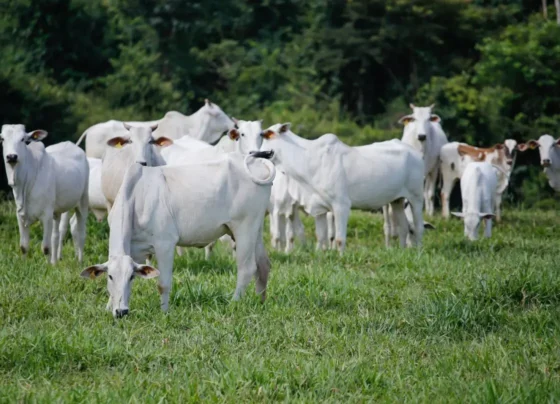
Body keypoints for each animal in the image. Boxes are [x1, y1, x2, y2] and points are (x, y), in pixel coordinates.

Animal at [0, 123, 88, 264]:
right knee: (56, 235)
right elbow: (23, 246)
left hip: (83, 202)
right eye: (2, 139)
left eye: (23, 139)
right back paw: (55, 262)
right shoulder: (20, 215)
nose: (12, 156)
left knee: (80, 232)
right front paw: (25, 264)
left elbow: (46, 247)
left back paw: (79, 261)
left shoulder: (46, 215)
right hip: (57, 211)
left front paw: (47, 266)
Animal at [81, 152, 276, 318]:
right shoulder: (135, 249)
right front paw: (109, 308)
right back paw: (261, 302)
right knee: (263, 265)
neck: (136, 197)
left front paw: (164, 312)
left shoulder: (165, 244)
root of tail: (255, 161)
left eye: (131, 277)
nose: (122, 312)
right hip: (255, 228)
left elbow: (163, 283)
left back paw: (234, 303)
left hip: (244, 227)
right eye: (110, 276)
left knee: (247, 268)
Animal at [258, 122, 424, 252]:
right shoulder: (319, 208)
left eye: (267, 134)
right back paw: (402, 250)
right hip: (397, 200)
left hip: (416, 197)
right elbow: (321, 236)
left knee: (418, 226)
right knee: (404, 227)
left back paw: (419, 251)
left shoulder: (341, 205)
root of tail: (416, 154)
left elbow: (339, 239)